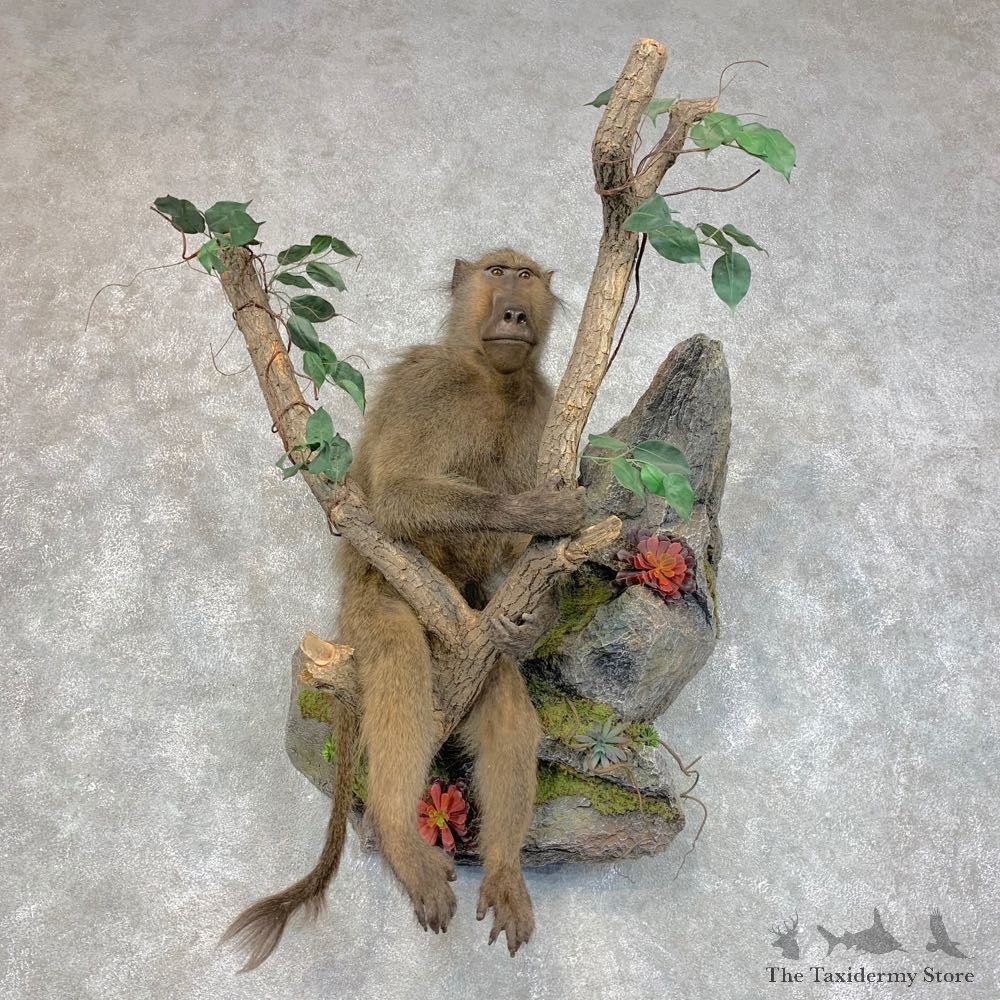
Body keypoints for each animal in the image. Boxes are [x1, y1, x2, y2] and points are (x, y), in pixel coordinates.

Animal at [223, 249, 586, 969]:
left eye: (526, 277)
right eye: (497, 271)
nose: (513, 312)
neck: (489, 378)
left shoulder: (540, 403)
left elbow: (519, 563)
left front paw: (530, 612)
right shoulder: (430, 381)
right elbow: (392, 492)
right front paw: (535, 510)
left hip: (464, 640)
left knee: (504, 701)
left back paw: (503, 869)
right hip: (374, 598)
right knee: (396, 662)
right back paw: (397, 835)